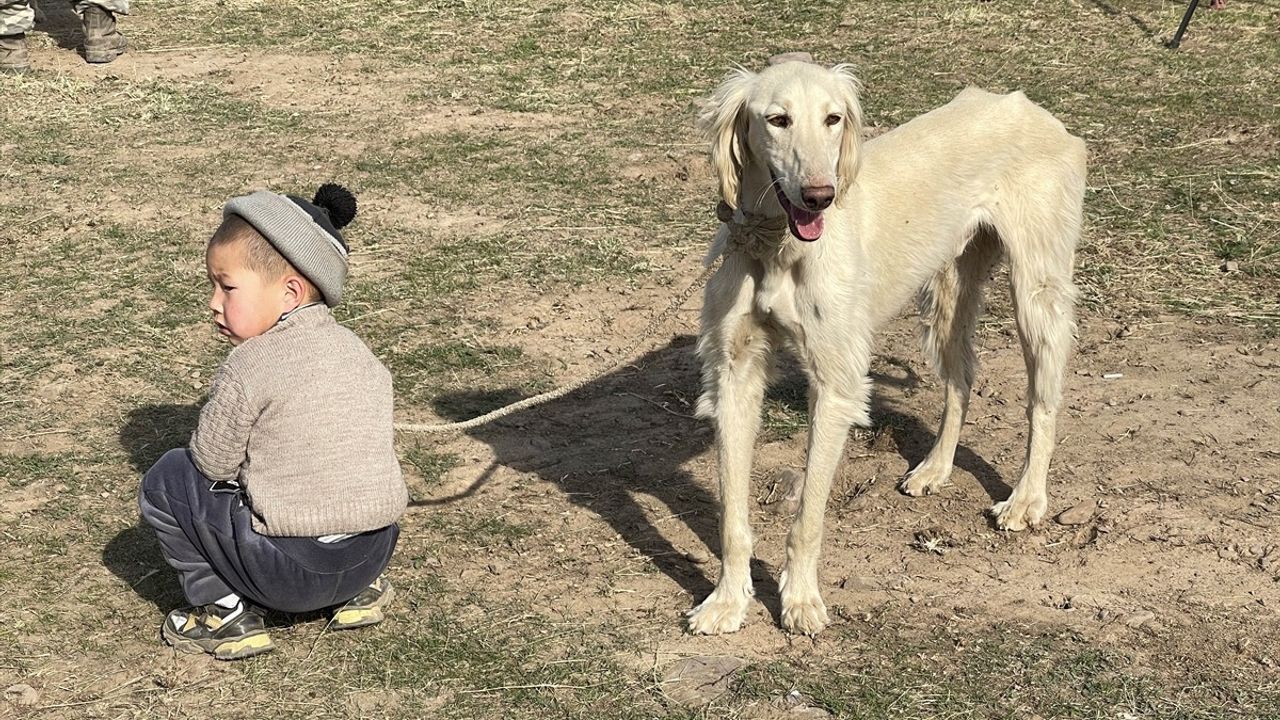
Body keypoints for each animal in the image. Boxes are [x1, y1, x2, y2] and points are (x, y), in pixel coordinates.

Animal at [686, 57, 1085, 632]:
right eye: (777, 119)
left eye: (833, 118)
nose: (820, 196)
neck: (776, 244)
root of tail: (1032, 109)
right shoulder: (734, 374)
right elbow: (731, 515)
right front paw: (727, 601)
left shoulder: (835, 383)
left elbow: (808, 514)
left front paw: (800, 599)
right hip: (949, 287)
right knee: (962, 377)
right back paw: (936, 468)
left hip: (1038, 291)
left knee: (1042, 401)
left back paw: (1025, 499)